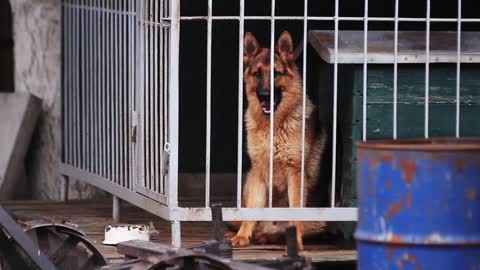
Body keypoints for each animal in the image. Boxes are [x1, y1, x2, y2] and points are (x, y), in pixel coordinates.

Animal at [228, 31, 326, 249]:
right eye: (257, 74)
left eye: (276, 73)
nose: (265, 95)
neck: (272, 126)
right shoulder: (258, 172)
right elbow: (251, 211)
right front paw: (242, 236)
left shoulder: (295, 173)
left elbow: (295, 212)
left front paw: (295, 242)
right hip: (248, 183)